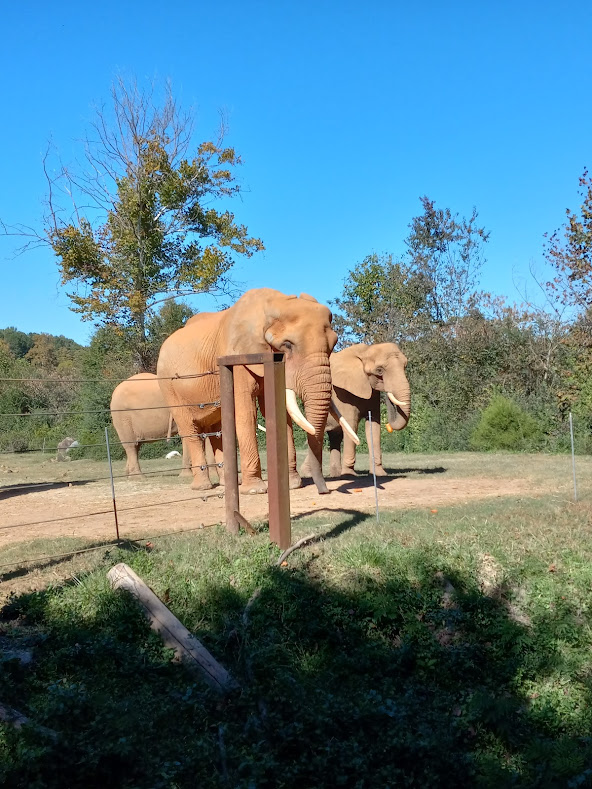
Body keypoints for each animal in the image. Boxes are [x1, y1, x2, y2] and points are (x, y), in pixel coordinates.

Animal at [157, 288, 350, 495]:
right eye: (287, 345)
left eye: (333, 344)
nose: (325, 491)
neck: (275, 304)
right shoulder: (238, 357)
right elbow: (246, 411)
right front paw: (255, 490)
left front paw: (292, 485)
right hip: (168, 386)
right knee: (189, 428)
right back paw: (203, 487)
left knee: (217, 429)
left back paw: (227, 484)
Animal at [299, 343, 410, 479]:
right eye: (379, 370)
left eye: (405, 365)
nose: (387, 392)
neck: (365, 351)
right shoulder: (342, 393)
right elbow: (352, 425)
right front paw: (350, 475)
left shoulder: (373, 394)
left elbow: (374, 426)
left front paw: (380, 474)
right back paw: (309, 474)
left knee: (335, 436)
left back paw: (335, 475)